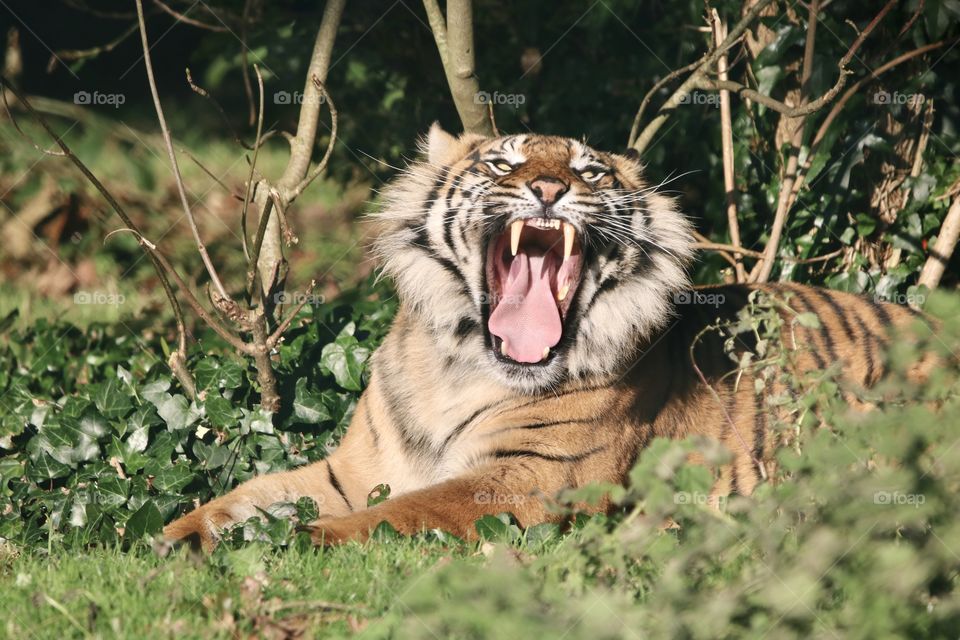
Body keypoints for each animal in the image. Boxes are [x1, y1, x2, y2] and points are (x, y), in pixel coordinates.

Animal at [163, 124, 933, 550]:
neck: (456, 367)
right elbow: (250, 493)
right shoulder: (352, 470)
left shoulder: (527, 480)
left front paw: (298, 542)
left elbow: (400, 513)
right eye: (503, 165)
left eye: (588, 171)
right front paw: (172, 538)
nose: (549, 189)